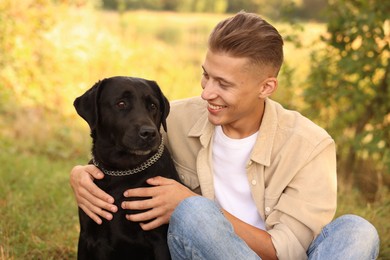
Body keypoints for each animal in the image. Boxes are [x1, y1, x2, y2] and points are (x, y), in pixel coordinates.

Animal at [73, 76, 180, 258]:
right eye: (121, 103)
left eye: (153, 106)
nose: (149, 133)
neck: (121, 172)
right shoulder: (89, 237)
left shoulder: (160, 240)